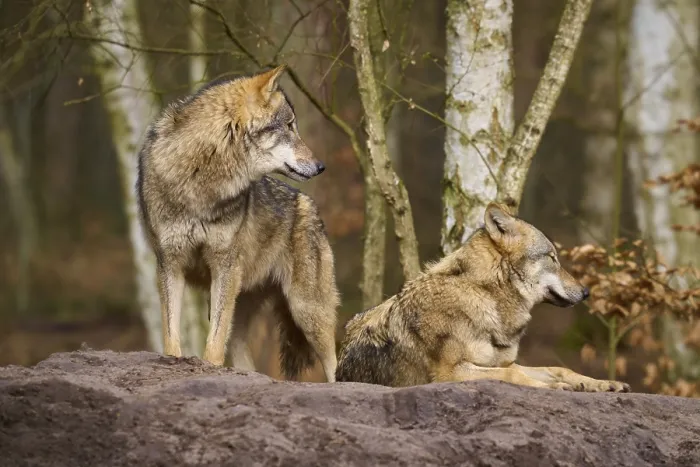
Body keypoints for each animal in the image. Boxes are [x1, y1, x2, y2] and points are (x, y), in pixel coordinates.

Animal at [136, 65, 339, 382]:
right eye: (289, 126)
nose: (321, 167)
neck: (201, 179)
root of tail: (309, 204)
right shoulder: (170, 263)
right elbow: (171, 337)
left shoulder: (224, 265)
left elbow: (214, 344)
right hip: (244, 307)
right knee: (246, 363)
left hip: (307, 310)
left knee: (334, 363)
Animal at [336, 203, 630, 392]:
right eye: (552, 258)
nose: (586, 292)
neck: (486, 296)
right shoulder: (450, 373)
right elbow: (513, 373)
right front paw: (560, 388)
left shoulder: (503, 361)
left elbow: (558, 369)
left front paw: (601, 383)